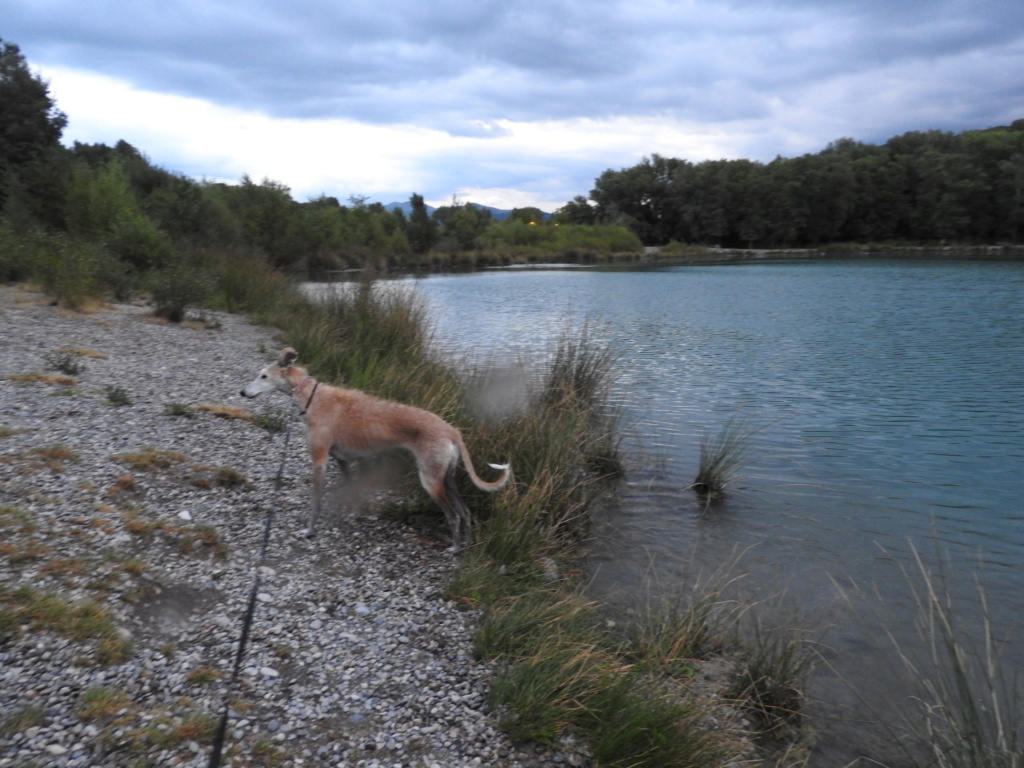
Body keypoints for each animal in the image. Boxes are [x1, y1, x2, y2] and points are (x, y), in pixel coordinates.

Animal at [240, 346, 512, 548]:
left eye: (263, 376)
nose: (242, 392)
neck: (311, 395)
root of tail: (451, 430)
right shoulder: (342, 460)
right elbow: (351, 488)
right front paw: (351, 514)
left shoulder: (320, 460)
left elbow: (316, 501)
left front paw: (309, 530)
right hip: (447, 478)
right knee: (465, 513)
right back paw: (466, 545)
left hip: (431, 481)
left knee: (454, 516)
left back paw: (454, 548)